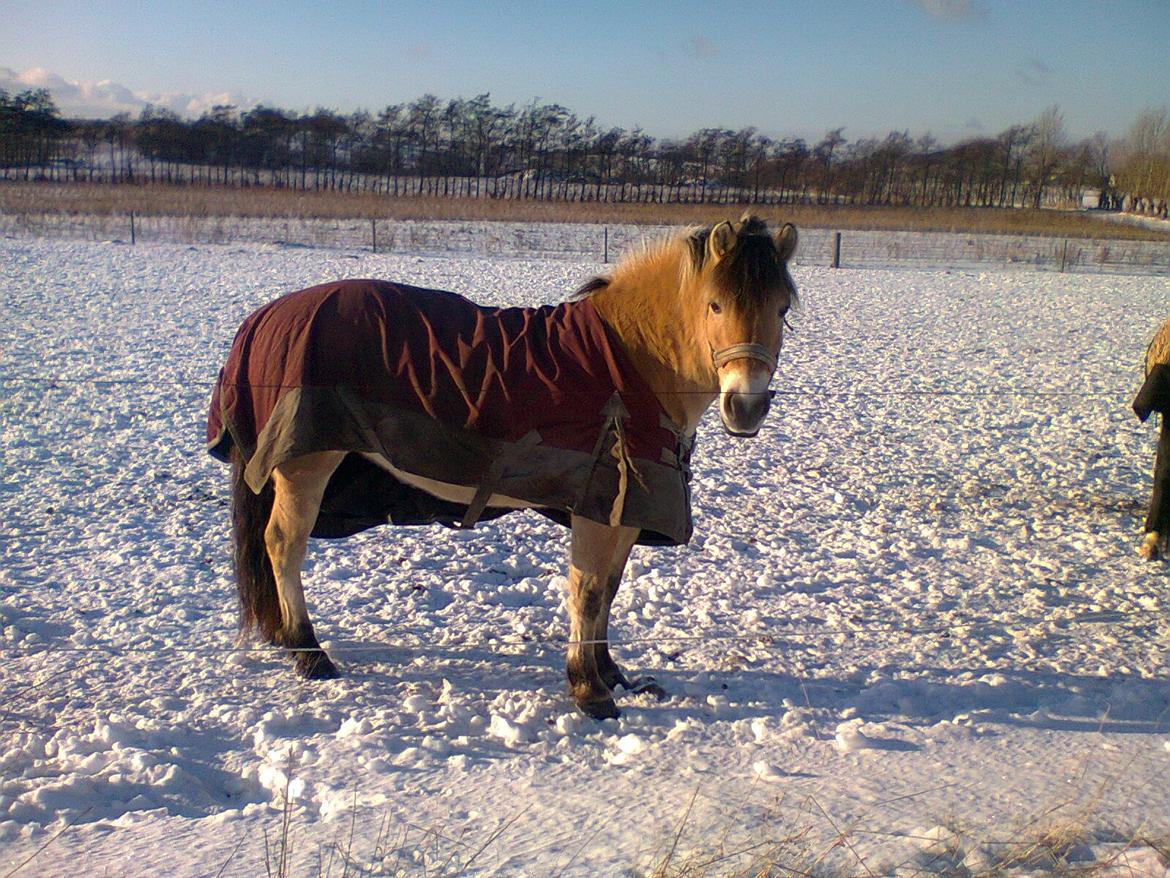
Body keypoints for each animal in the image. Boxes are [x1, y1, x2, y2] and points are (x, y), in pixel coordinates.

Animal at [205, 215, 800, 721]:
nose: (746, 406)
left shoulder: (628, 508)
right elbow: (587, 590)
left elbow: (608, 588)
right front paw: (589, 689)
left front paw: (610, 672)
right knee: (282, 545)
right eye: (715, 305)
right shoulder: (597, 504)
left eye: (782, 309)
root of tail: (264, 317)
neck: (633, 361)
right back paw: (308, 652)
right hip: (306, 465)